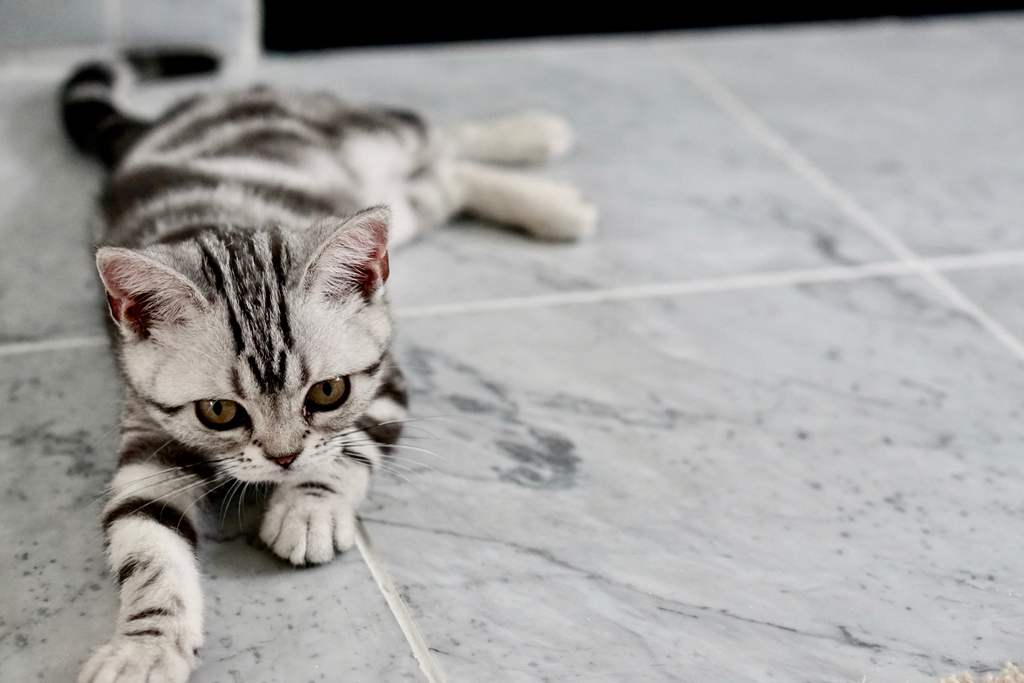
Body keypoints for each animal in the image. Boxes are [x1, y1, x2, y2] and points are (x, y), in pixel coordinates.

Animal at [61, 52, 593, 683]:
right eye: (219, 411)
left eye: (328, 393)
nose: (284, 458)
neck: (222, 226)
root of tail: (162, 123)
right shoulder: (147, 431)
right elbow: (146, 541)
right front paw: (146, 645)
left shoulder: (386, 380)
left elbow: (351, 446)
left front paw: (308, 508)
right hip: (399, 205)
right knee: (442, 183)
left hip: (371, 137)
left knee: (436, 136)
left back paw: (539, 149)